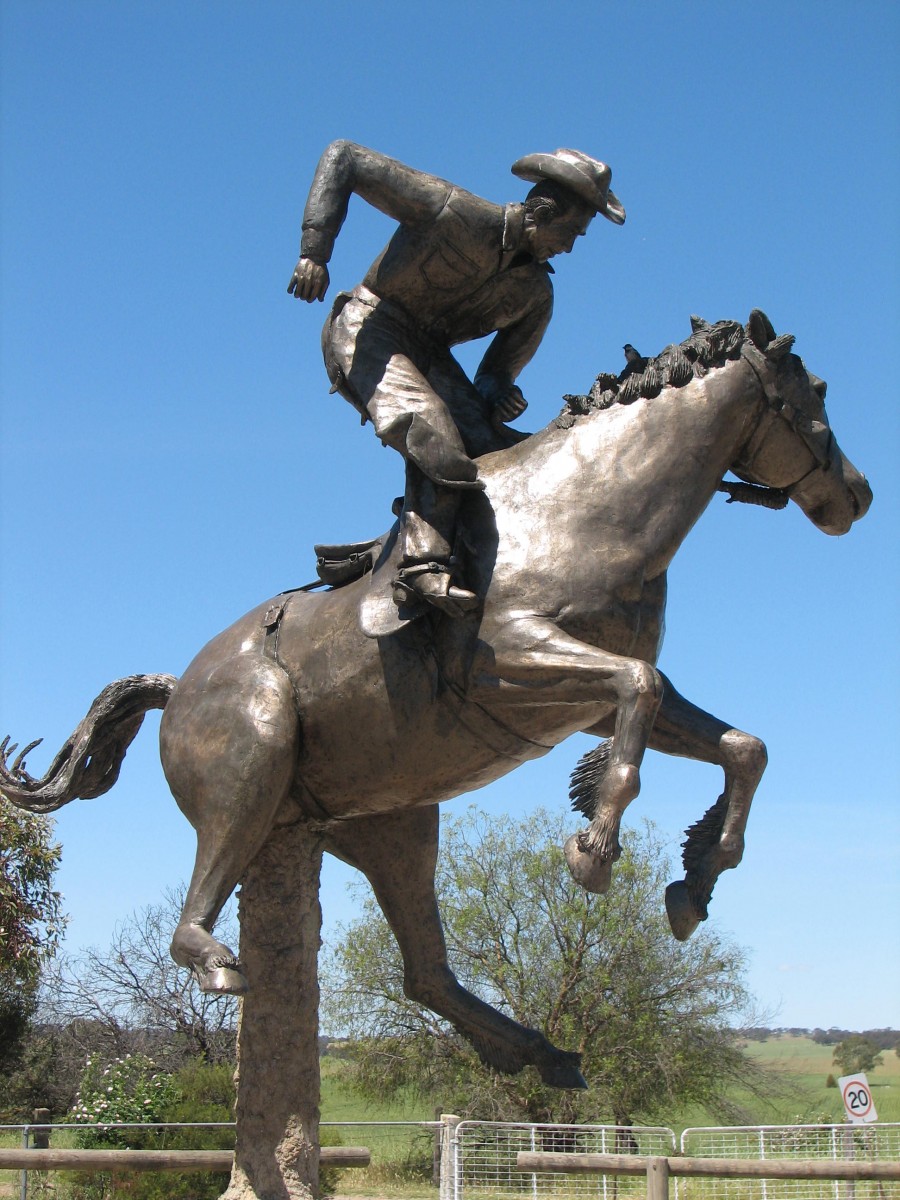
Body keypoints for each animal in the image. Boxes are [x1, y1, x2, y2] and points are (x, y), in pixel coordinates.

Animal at [0, 309, 873, 1089]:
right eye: (815, 395)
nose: (857, 498)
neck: (586, 508)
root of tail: (179, 689)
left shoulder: (583, 701)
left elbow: (739, 744)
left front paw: (696, 878)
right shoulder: (507, 666)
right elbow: (641, 689)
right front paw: (595, 850)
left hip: (395, 825)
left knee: (426, 973)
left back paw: (543, 1054)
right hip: (255, 762)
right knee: (198, 916)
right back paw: (219, 963)